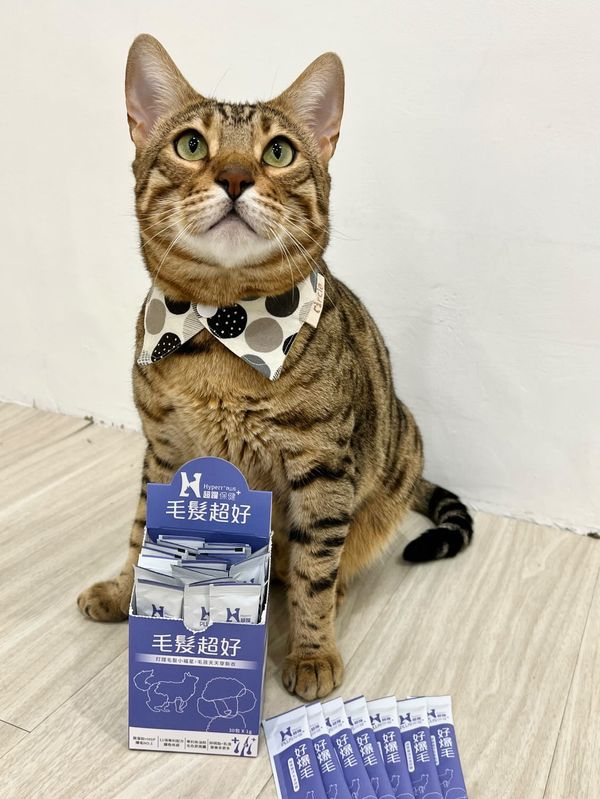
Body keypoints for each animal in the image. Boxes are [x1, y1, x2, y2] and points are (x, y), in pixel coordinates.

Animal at [78, 34, 473, 700]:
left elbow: (314, 567)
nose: (236, 176)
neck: (222, 325)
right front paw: (124, 590)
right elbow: (140, 532)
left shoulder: (322, 467)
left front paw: (312, 652)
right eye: (191, 144)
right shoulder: (163, 449)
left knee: (332, 562)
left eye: (279, 152)